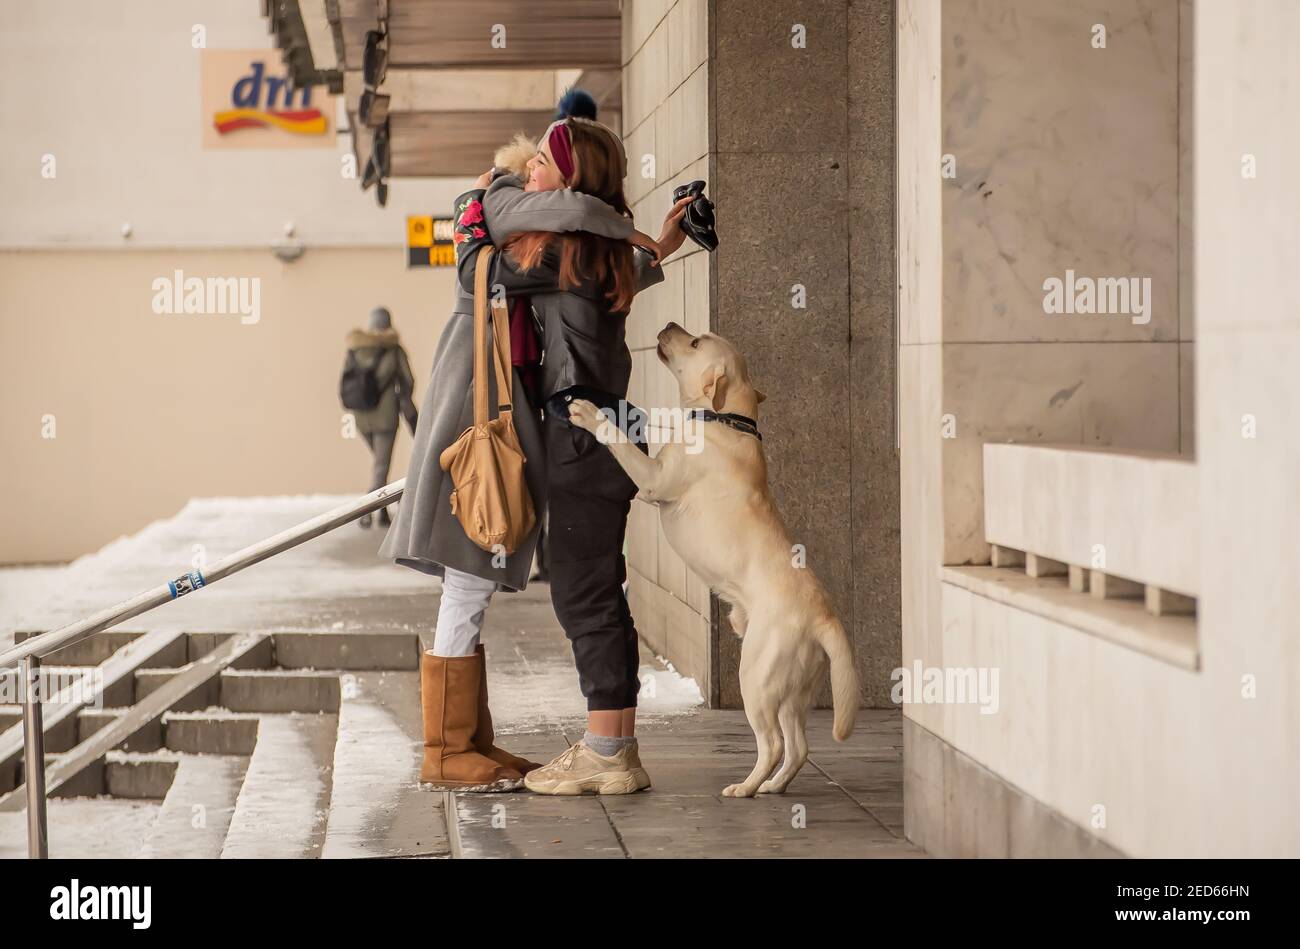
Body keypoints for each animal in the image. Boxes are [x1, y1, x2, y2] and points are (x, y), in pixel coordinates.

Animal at [566, 321, 852, 795]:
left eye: (696, 342)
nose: (668, 326)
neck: (725, 420)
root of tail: (824, 617)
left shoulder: (653, 479)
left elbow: (621, 443)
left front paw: (591, 414)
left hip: (756, 678)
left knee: (773, 743)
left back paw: (746, 787)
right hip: (792, 690)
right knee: (797, 747)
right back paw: (772, 786)